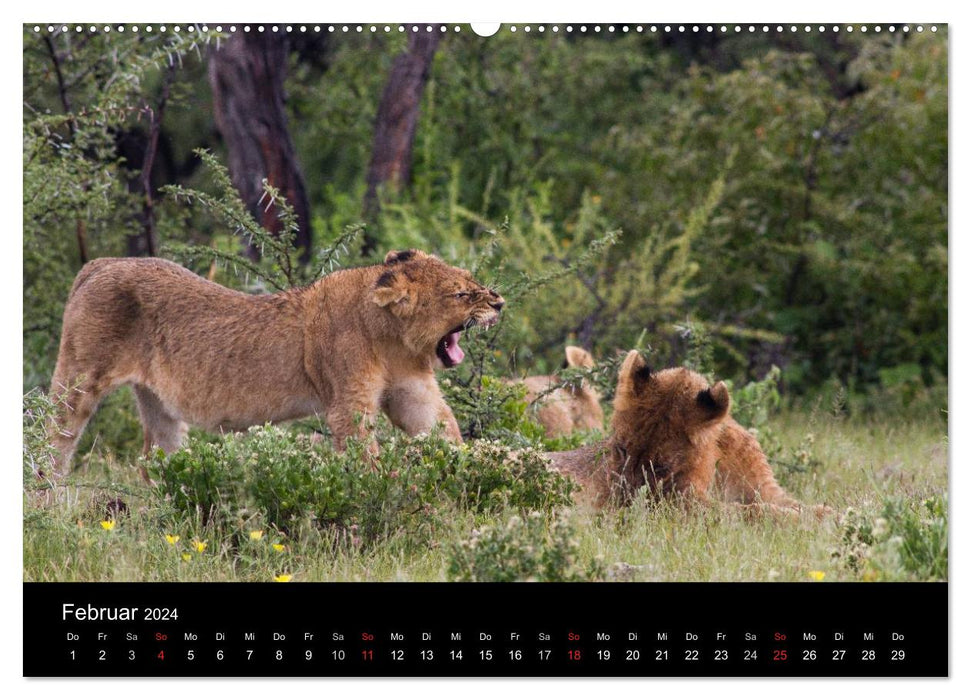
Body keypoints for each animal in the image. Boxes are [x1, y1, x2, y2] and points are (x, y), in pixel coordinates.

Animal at [49, 249, 504, 474]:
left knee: (156, 456)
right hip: (78, 380)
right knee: (52, 441)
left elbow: (444, 432)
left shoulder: (411, 391)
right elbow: (365, 458)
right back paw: (50, 508)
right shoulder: (347, 403)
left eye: (474, 282)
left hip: (159, 406)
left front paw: (473, 477)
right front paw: (380, 497)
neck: (394, 338)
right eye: (462, 294)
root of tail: (101, 263)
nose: (500, 303)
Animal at [548, 350, 828, 520]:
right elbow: (751, 512)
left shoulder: (764, 488)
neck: (717, 464)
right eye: (621, 450)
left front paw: (825, 514)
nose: (620, 510)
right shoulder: (684, 508)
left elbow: (791, 503)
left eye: (661, 468)